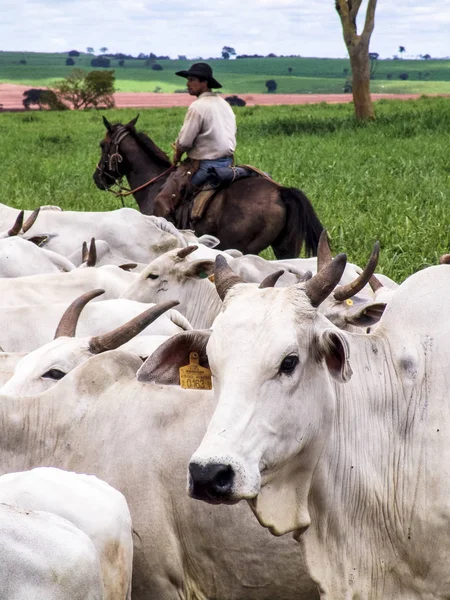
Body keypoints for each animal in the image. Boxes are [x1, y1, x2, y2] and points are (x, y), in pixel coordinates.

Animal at [94, 115, 324, 258]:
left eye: (102, 145)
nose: (97, 178)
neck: (154, 184)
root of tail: (280, 191)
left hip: (243, 247)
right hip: (286, 247)